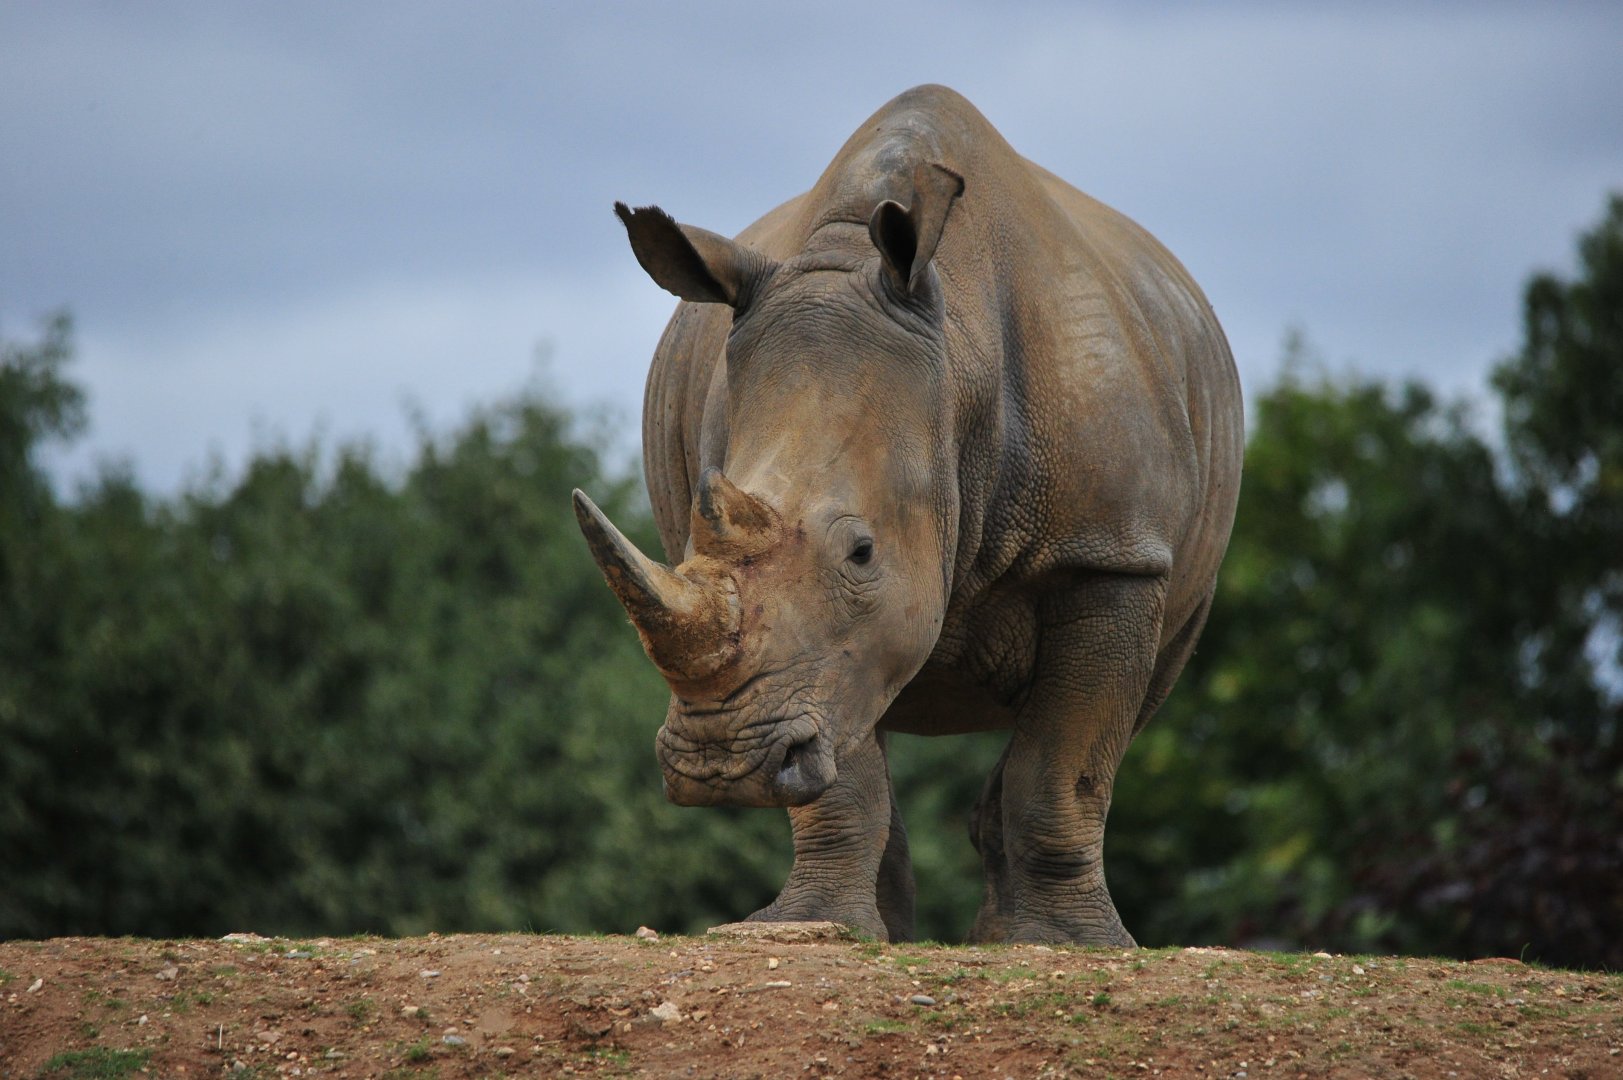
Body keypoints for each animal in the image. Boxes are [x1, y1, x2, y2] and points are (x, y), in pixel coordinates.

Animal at [573, 85, 1242, 945]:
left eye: (862, 551)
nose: (720, 764)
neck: (959, 366)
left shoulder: (1110, 553)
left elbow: (1065, 761)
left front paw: (1071, 944)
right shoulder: (824, 653)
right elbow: (843, 755)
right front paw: (811, 928)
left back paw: (1003, 935)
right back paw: (880, 931)